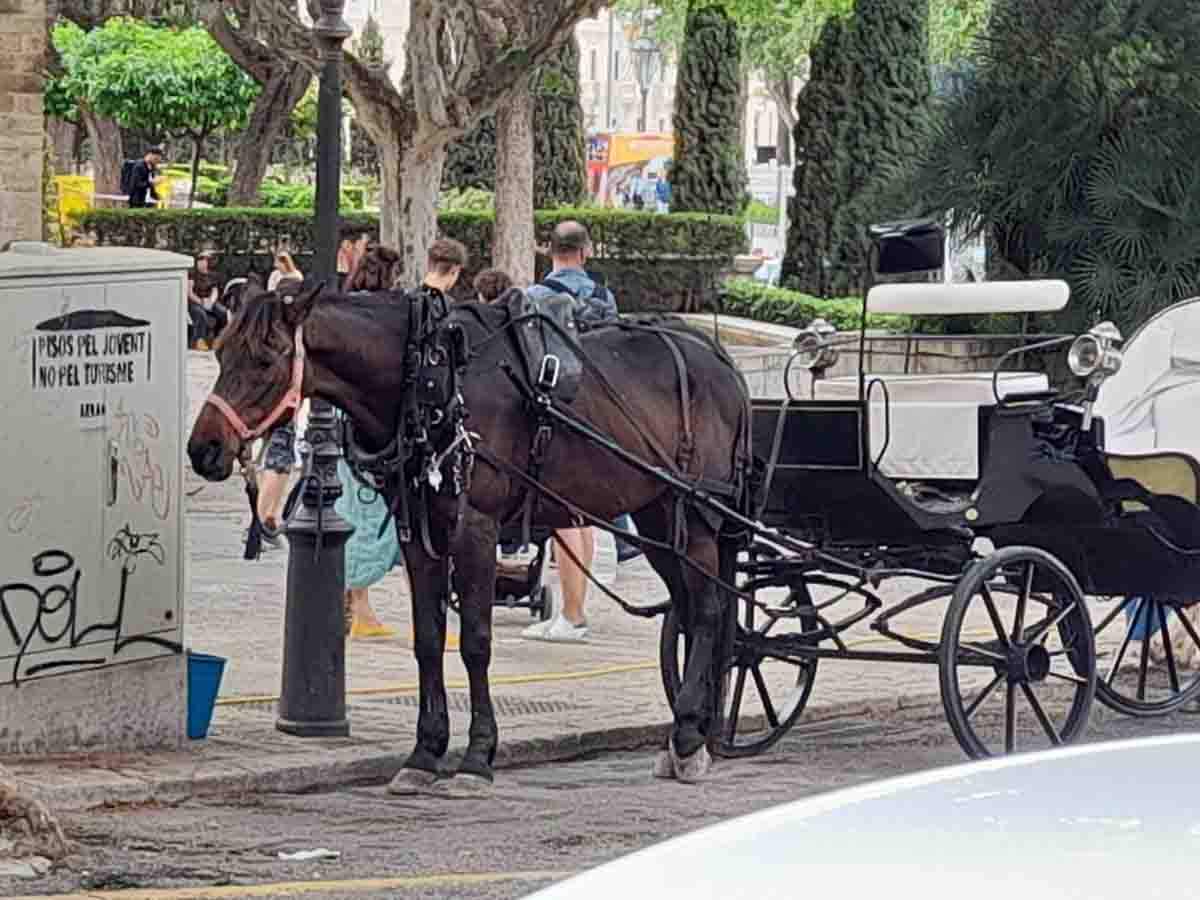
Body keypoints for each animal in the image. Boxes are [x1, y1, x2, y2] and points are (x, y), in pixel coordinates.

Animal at [187, 285, 748, 792]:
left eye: (264, 359)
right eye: (220, 352)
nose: (204, 448)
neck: (429, 377)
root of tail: (719, 359)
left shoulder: (475, 527)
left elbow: (476, 641)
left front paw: (478, 755)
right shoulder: (421, 531)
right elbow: (429, 639)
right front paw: (425, 750)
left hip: (695, 515)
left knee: (708, 610)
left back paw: (688, 739)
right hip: (658, 517)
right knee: (689, 609)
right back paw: (692, 728)